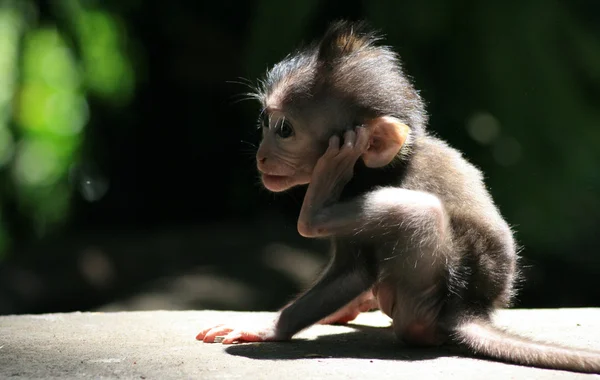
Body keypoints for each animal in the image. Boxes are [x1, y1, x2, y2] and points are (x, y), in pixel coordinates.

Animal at [197, 21, 600, 374]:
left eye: (284, 130)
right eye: (265, 123)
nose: (261, 156)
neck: (380, 166)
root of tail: (472, 309)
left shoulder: (355, 190)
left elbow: (357, 270)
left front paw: (268, 329)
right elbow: (352, 273)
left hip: (430, 289)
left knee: (424, 214)